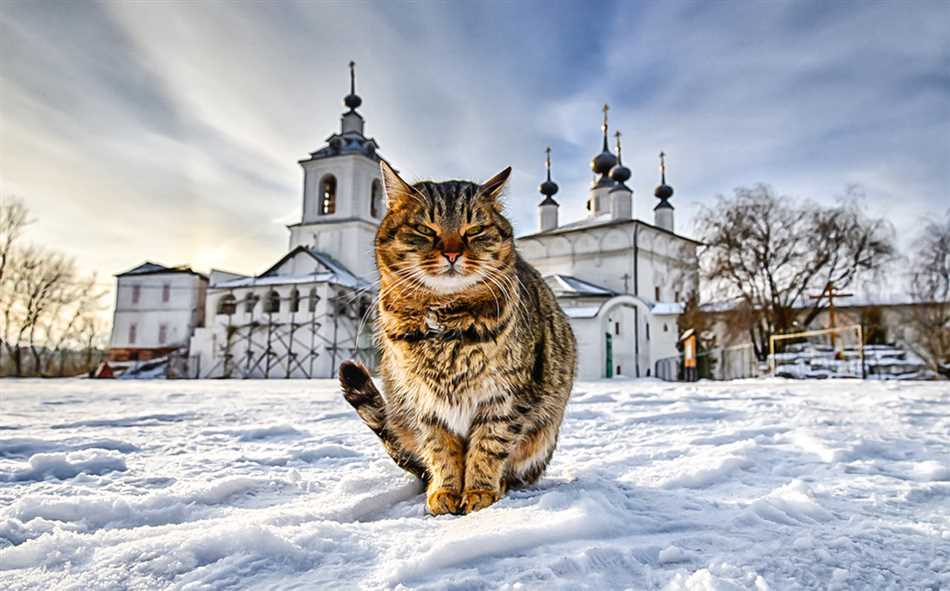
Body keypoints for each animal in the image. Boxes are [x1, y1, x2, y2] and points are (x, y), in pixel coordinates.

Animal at [342, 161, 580, 512]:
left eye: (475, 230)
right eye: (425, 229)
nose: (453, 253)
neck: (443, 319)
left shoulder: (505, 396)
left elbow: (489, 444)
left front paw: (479, 491)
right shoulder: (424, 402)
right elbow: (440, 449)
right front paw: (445, 491)